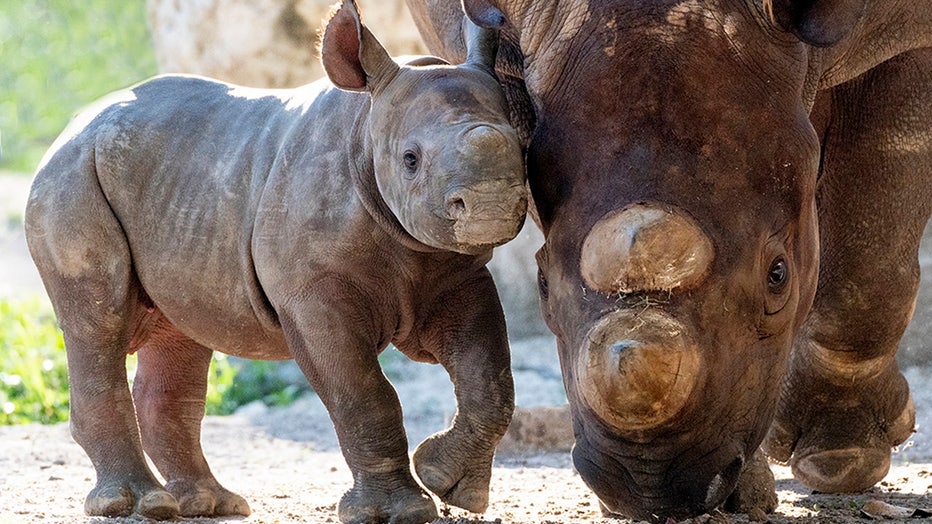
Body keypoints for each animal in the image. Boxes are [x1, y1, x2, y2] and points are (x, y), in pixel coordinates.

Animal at [23, 2, 524, 520]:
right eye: (410, 159)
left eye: (525, 145)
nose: (489, 206)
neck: (366, 127)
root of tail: (74, 124)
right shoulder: (311, 292)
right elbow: (363, 394)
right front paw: (400, 510)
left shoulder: (456, 273)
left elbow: (490, 379)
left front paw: (450, 485)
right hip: (71, 177)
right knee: (97, 323)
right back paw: (138, 502)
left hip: (174, 186)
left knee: (178, 332)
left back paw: (210, 503)